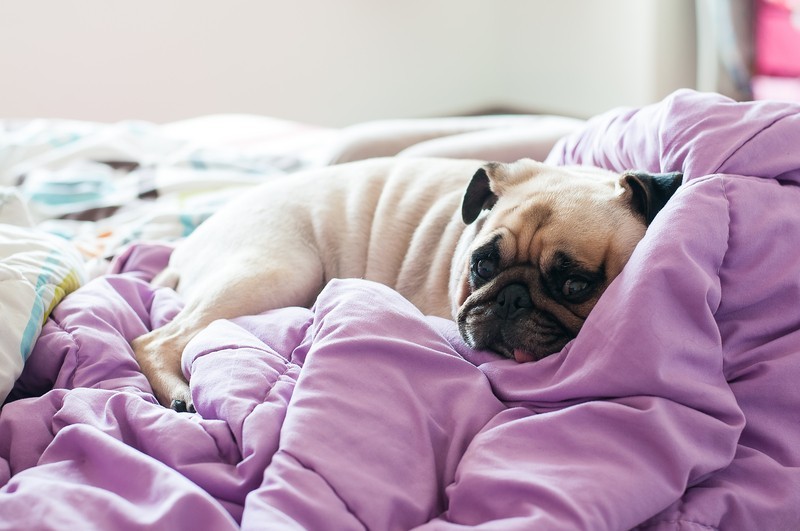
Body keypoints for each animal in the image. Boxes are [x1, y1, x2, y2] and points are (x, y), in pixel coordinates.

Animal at [133, 158, 680, 412]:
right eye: (482, 265)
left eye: (574, 285)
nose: (511, 297)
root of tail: (184, 249)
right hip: (282, 269)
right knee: (153, 340)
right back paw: (179, 395)